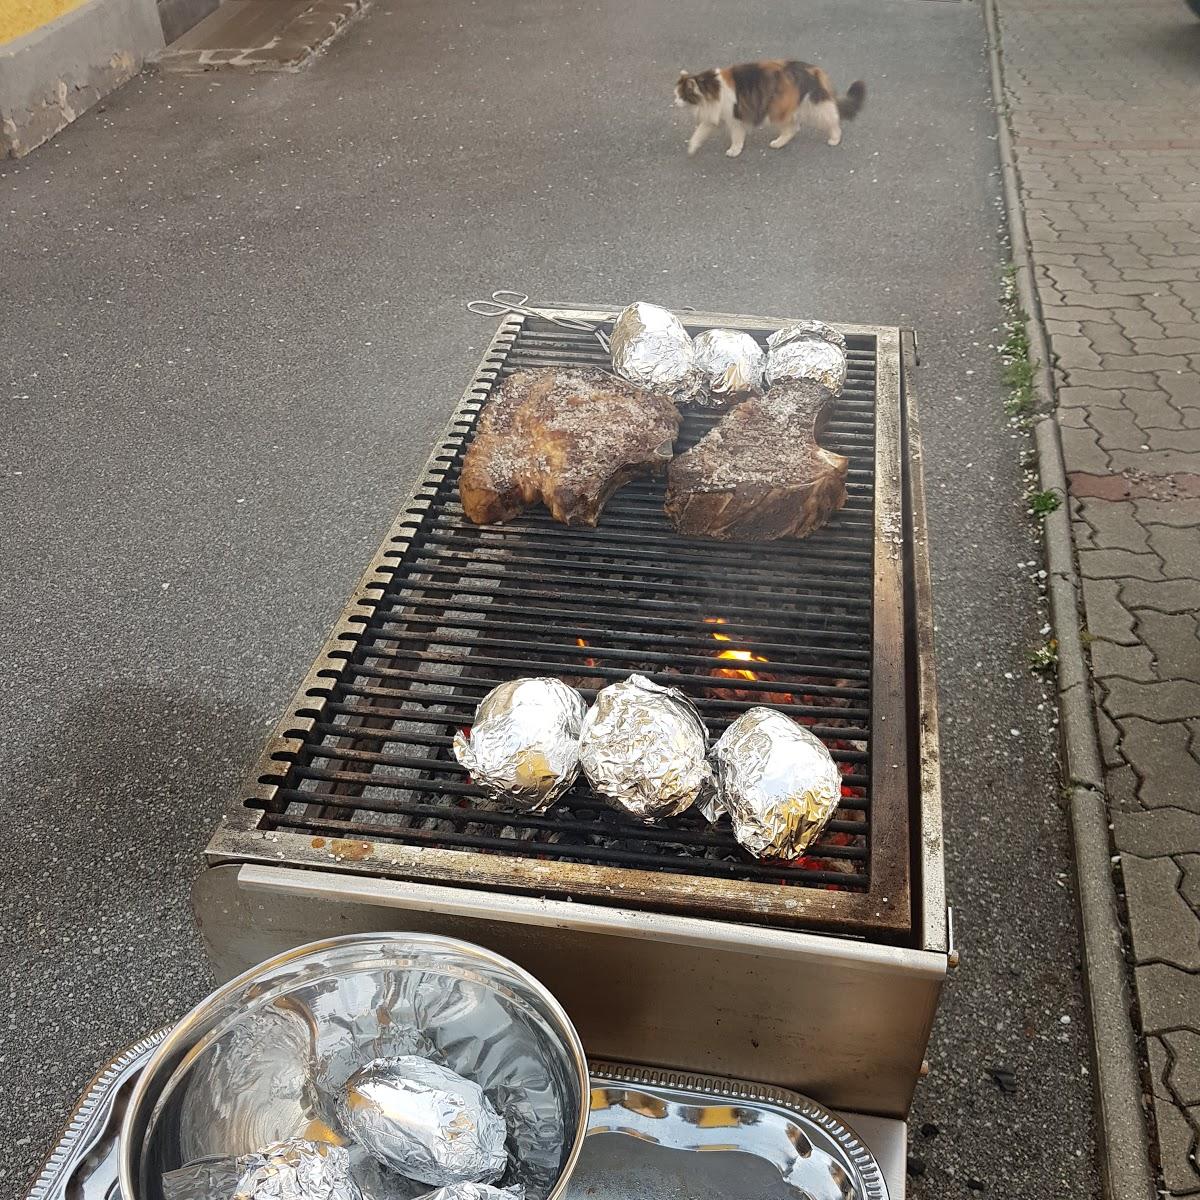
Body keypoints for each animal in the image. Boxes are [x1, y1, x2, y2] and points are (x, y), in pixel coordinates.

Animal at [676, 59, 864, 157]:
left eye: (681, 95)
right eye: (676, 94)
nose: (674, 102)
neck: (710, 88)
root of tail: (813, 68)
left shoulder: (735, 118)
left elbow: (737, 137)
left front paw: (734, 150)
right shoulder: (712, 117)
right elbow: (699, 132)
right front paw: (692, 147)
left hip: (794, 106)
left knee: (831, 119)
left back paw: (835, 137)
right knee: (793, 127)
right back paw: (779, 143)